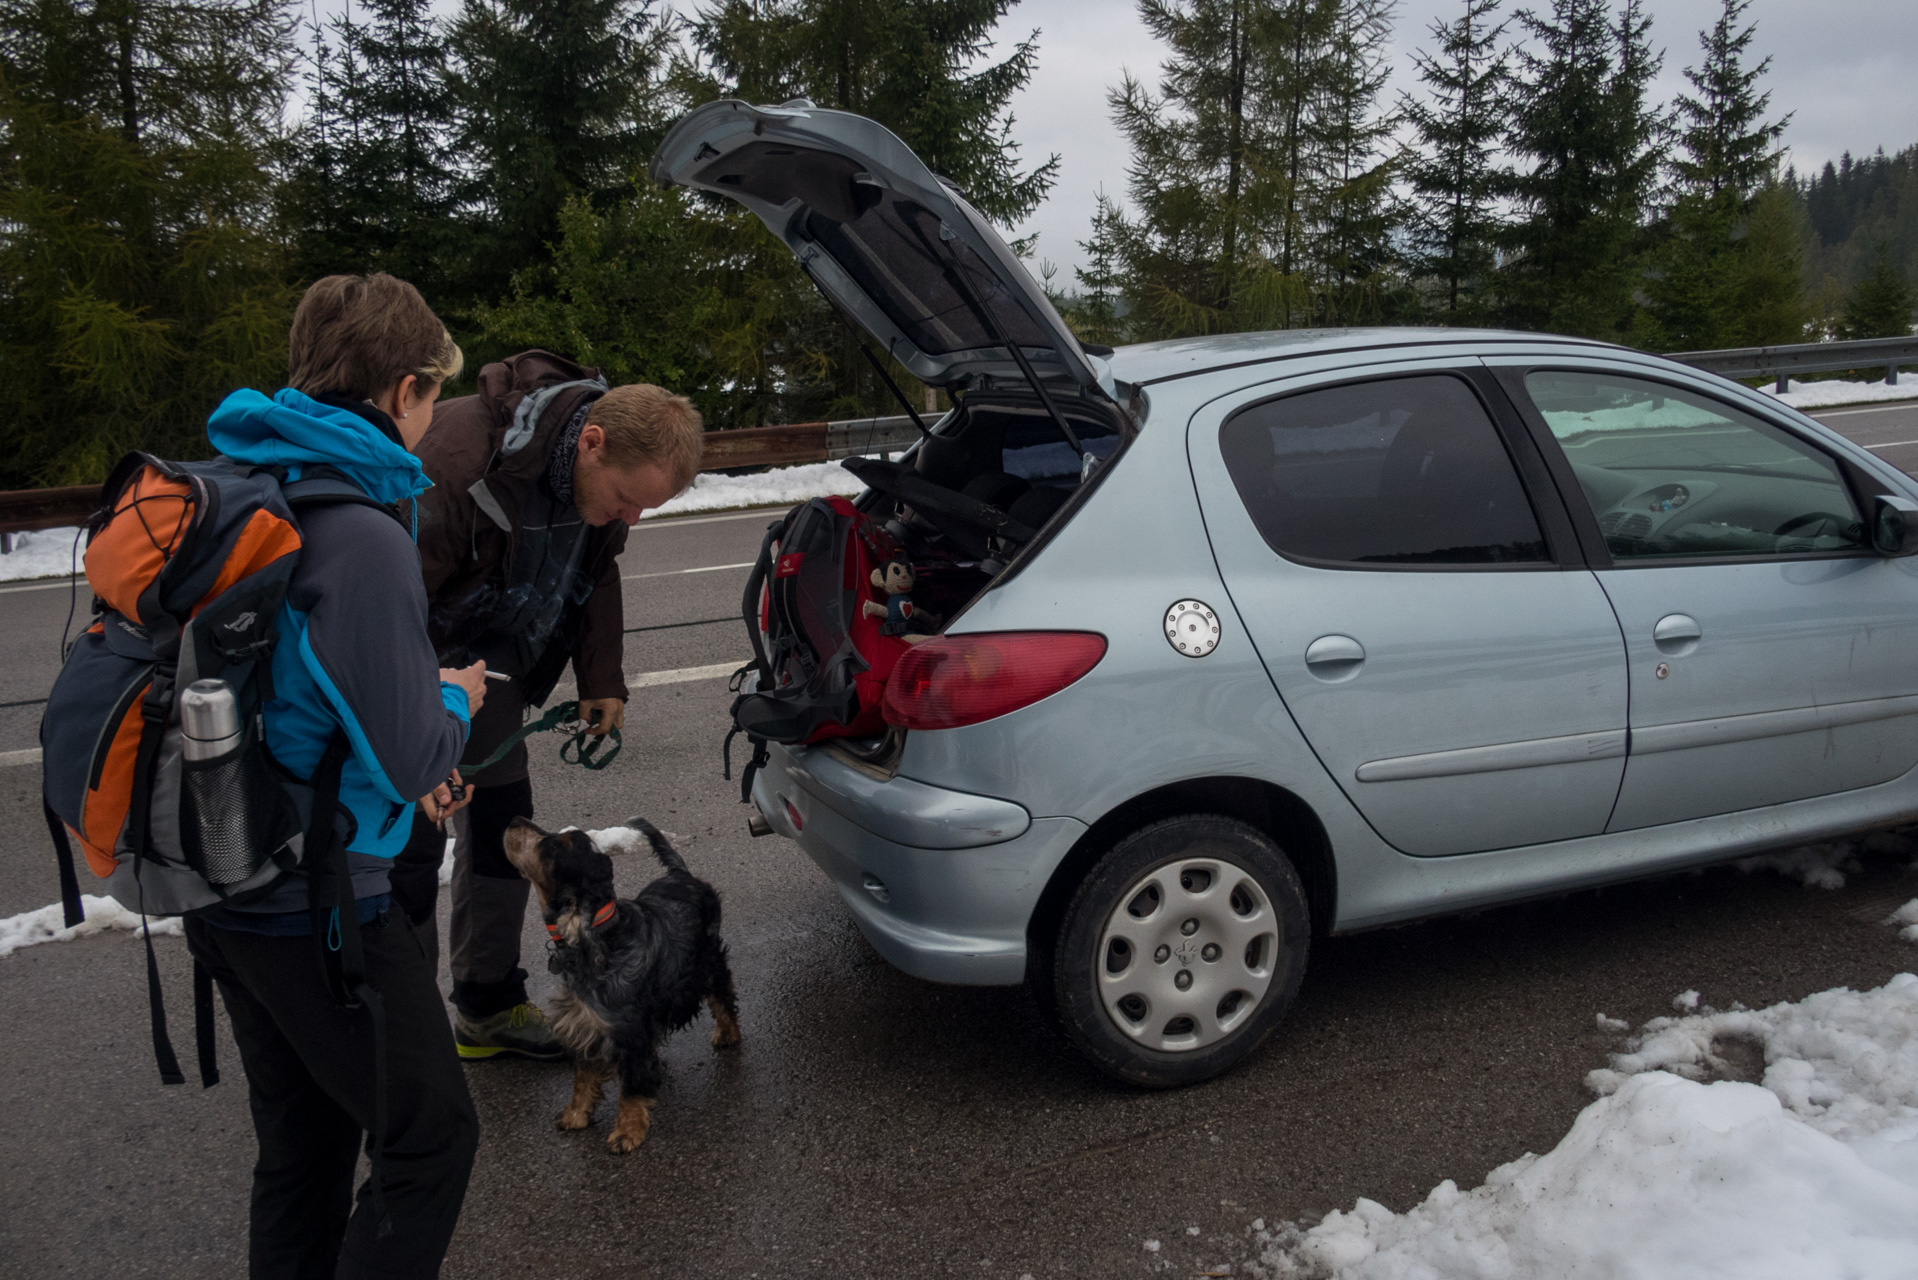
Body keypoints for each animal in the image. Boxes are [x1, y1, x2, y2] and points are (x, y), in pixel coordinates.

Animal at [502, 817, 740, 1159]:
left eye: (554, 845)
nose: (514, 820)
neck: (597, 937)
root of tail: (680, 874)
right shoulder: (585, 1025)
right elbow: (582, 1079)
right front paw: (576, 1115)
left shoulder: (626, 1033)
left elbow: (629, 1088)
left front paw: (627, 1132)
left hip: (708, 961)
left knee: (723, 995)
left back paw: (727, 1033)